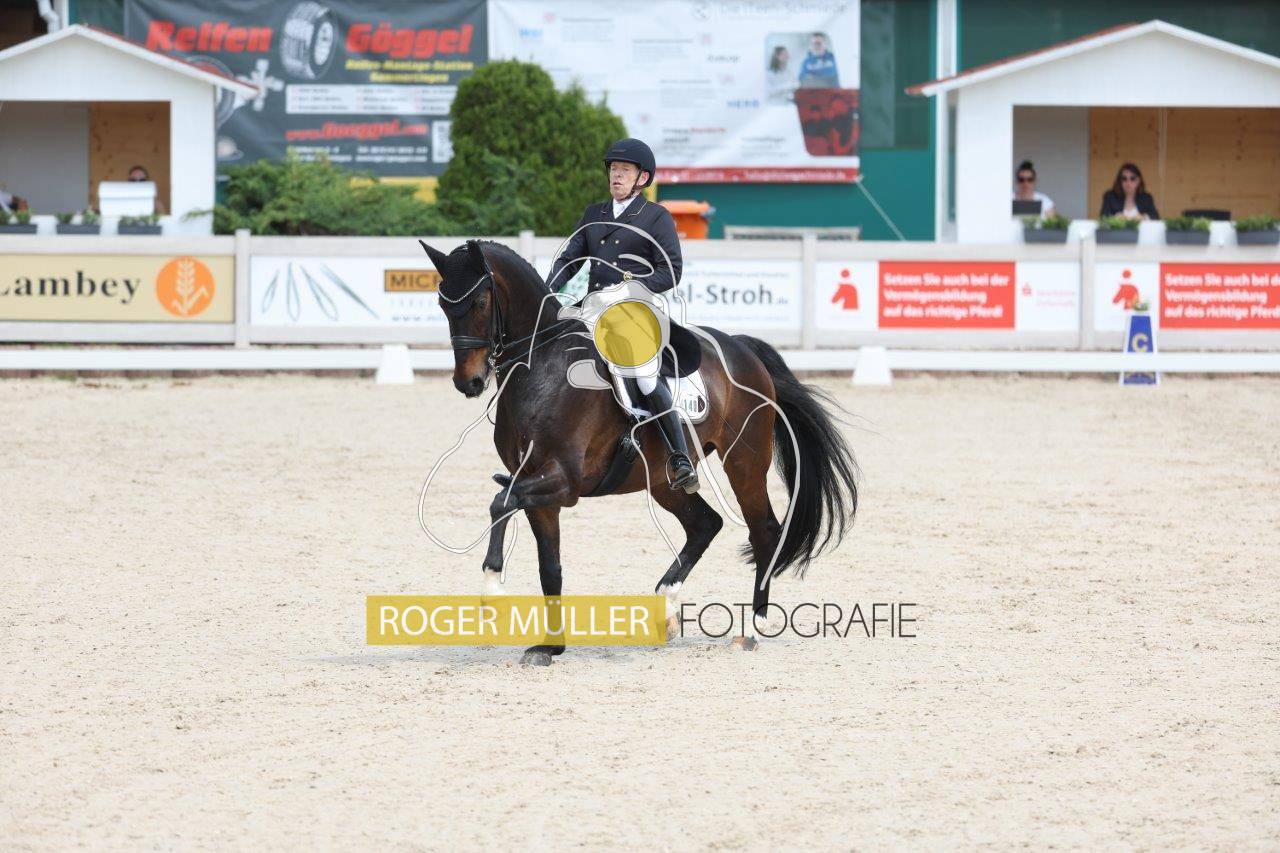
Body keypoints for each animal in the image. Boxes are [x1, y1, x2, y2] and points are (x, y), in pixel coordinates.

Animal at [420, 239, 858, 665]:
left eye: (479, 302)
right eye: (442, 304)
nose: (469, 382)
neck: (541, 366)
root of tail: (741, 348)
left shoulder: (563, 483)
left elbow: (500, 501)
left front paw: (492, 589)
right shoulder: (538, 486)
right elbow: (548, 564)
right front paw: (550, 647)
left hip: (744, 462)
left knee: (763, 531)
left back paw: (752, 628)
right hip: (662, 479)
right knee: (705, 524)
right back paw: (666, 608)